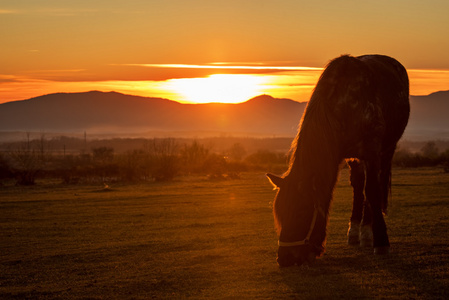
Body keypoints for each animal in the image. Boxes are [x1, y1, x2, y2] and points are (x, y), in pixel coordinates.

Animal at [266, 54, 410, 268]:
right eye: (281, 212)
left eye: (301, 211)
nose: (285, 258)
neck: (346, 104)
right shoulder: (338, 155)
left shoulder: (372, 151)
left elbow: (373, 192)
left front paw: (381, 242)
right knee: (358, 185)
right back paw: (357, 230)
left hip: (387, 149)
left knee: (374, 184)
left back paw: (368, 230)